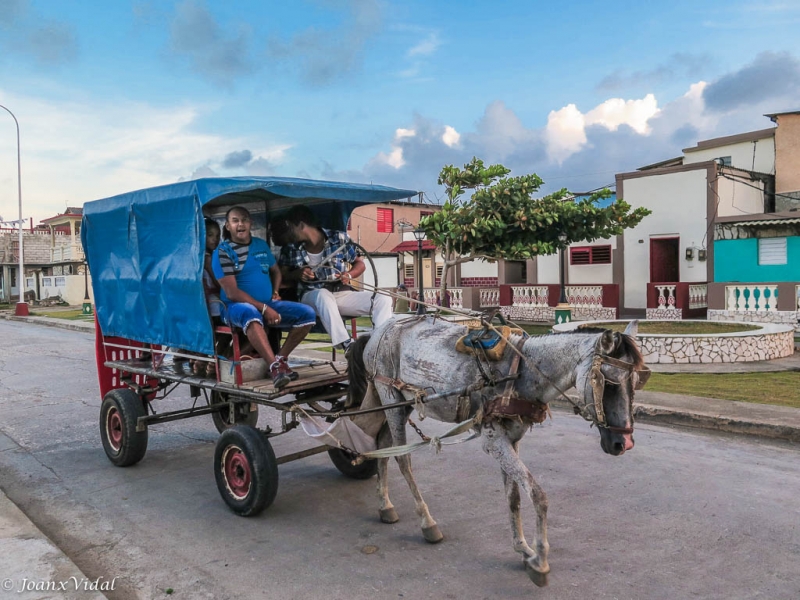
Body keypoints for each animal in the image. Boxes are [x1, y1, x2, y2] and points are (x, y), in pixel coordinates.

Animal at [346, 316, 648, 588]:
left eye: (637, 382)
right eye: (609, 383)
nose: (623, 444)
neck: (522, 371)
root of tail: (379, 329)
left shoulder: (512, 438)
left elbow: (514, 496)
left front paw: (523, 549)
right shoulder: (494, 441)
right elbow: (538, 496)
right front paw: (540, 561)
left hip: (399, 403)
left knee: (383, 444)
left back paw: (385, 505)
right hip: (389, 395)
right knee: (402, 458)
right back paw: (427, 522)